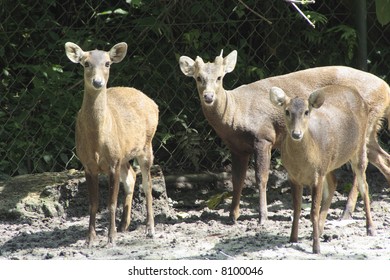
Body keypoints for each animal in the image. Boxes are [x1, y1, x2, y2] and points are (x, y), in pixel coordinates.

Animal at [65, 42, 158, 247]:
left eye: (107, 63)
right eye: (86, 63)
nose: (98, 82)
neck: (96, 141)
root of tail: (153, 103)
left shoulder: (113, 163)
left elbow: (111, 202)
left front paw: (111, 237)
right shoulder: (88, 164)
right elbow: (93, 203)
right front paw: (90, 239)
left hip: (146, 145)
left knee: (147, 184)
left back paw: (150, 228)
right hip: (124, 154)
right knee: (131, 177)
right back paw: (124, 224)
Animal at [180, 49, 390, 225]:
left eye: (219, 77)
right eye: (198, 78)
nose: (208, 96)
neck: (234, 114)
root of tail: (385, 88)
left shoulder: (264, 136)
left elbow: (261, 177)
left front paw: (262, 217)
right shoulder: (237, 148)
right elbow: (237, 179)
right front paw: (233, 216)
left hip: (362, 126)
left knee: (361, 164)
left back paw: (346, 213)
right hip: (370, 129)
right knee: (381, 157)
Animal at [268, 85, 374, 254]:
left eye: (306, 111)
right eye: (287, 111)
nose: (296, 134)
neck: (302, 164)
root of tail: (357, 94)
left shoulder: (317, 175)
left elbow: (313, 212)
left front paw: (316, 248)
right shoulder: (293, 176)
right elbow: (296, 208)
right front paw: (293, 238)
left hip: (360, 145)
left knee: (364, 185)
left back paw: (370, 228)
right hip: (329, 163)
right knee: (333, 183)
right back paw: (320, 229)